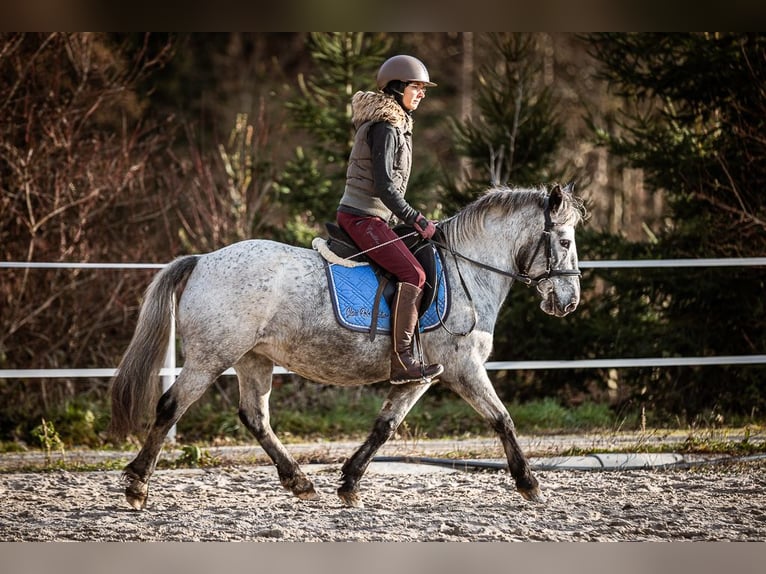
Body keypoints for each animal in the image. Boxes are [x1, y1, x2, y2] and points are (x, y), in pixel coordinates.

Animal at [109, 183, 588, 508]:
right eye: (565, 242)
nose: (568, 302)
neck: (466, 270)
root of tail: (202, 260)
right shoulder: (463, 367)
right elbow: (502, 419)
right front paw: (529, 483)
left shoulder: (419, 375)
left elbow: (385, 427)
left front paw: (350, 483)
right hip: (212, 357)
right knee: (171, 406)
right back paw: (137, 485)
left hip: (253, 359)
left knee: (255, 417)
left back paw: (299, 481)